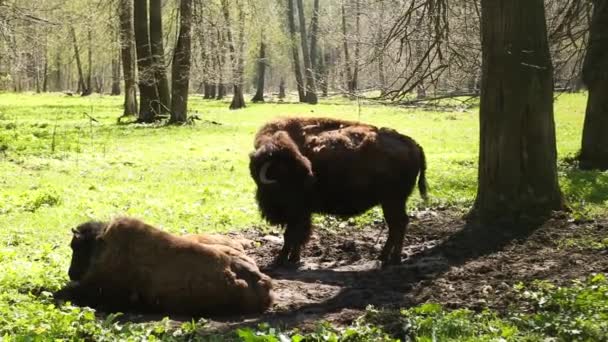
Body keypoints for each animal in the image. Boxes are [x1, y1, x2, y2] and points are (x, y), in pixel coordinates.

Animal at [247, 117, 428, 268]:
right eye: (286, 167)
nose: (311, 178)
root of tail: (413, 144)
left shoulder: (297, 212)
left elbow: (291, 235)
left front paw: (280, 260)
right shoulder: (302, 213)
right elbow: (298, 235)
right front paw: (294, 259)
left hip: (393, 201)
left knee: (399, 223)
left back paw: (394, 259)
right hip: (391, 202)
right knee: (395, 225)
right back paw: (383, 257)